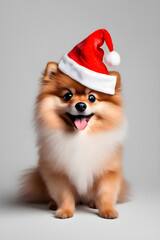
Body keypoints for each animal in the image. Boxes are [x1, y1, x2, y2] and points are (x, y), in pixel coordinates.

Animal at [19, 29, 127, 218]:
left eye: (92, 98)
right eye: (67, 96)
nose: (81, 105)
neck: (80, 138)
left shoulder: (108, 171)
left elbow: (105, 193)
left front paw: (107, 210)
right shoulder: (58, 173)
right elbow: (64, 194)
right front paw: (64, 211)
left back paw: (92, 203)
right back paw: (53, 204)